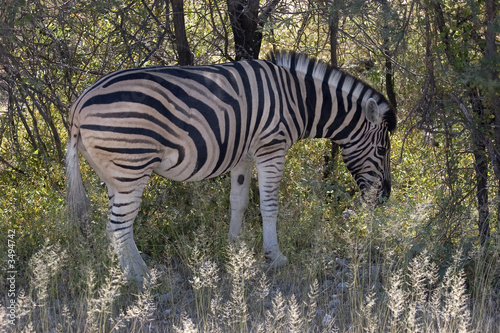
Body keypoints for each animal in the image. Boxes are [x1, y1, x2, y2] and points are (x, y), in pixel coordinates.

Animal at [66, 50, 396, 282]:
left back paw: (128, 273)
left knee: (116, 227)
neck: (298, 100)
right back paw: (140, 277)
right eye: (382, 150)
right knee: (118, 226)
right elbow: (269, 205)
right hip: (132, 165)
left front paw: (234, 247)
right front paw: (274, 257)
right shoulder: (271, 148)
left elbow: (238, 201)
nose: (384, 198)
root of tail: (79, 104)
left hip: (115, 174)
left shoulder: (244, 155)